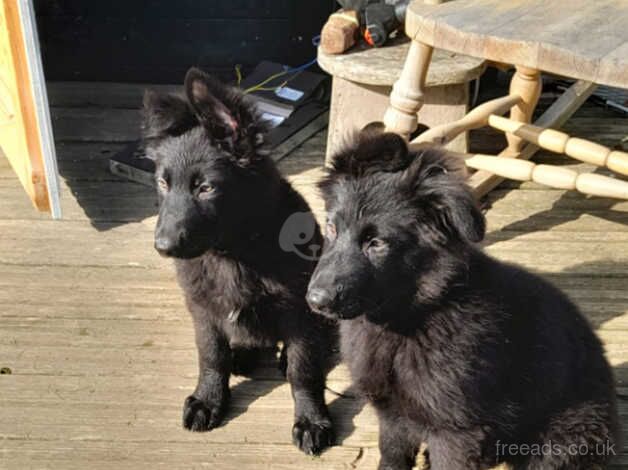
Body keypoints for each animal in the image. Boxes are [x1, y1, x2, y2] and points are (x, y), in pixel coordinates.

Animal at [141, 68, 338, 458]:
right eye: (162, 183)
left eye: (206, 188)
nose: (162, 247)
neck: (232, 252)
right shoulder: (202, 308)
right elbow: (211, 355)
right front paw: (208, 400)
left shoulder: (298, 311)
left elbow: (303, 369)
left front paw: (311, 420)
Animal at [304, 131, 620, 470]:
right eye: (331, 227)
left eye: (377, 243)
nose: (315, 300)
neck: (407, 321)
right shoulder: (392, 417)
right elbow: (392, 455)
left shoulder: (456, 432)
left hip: (561, 439)